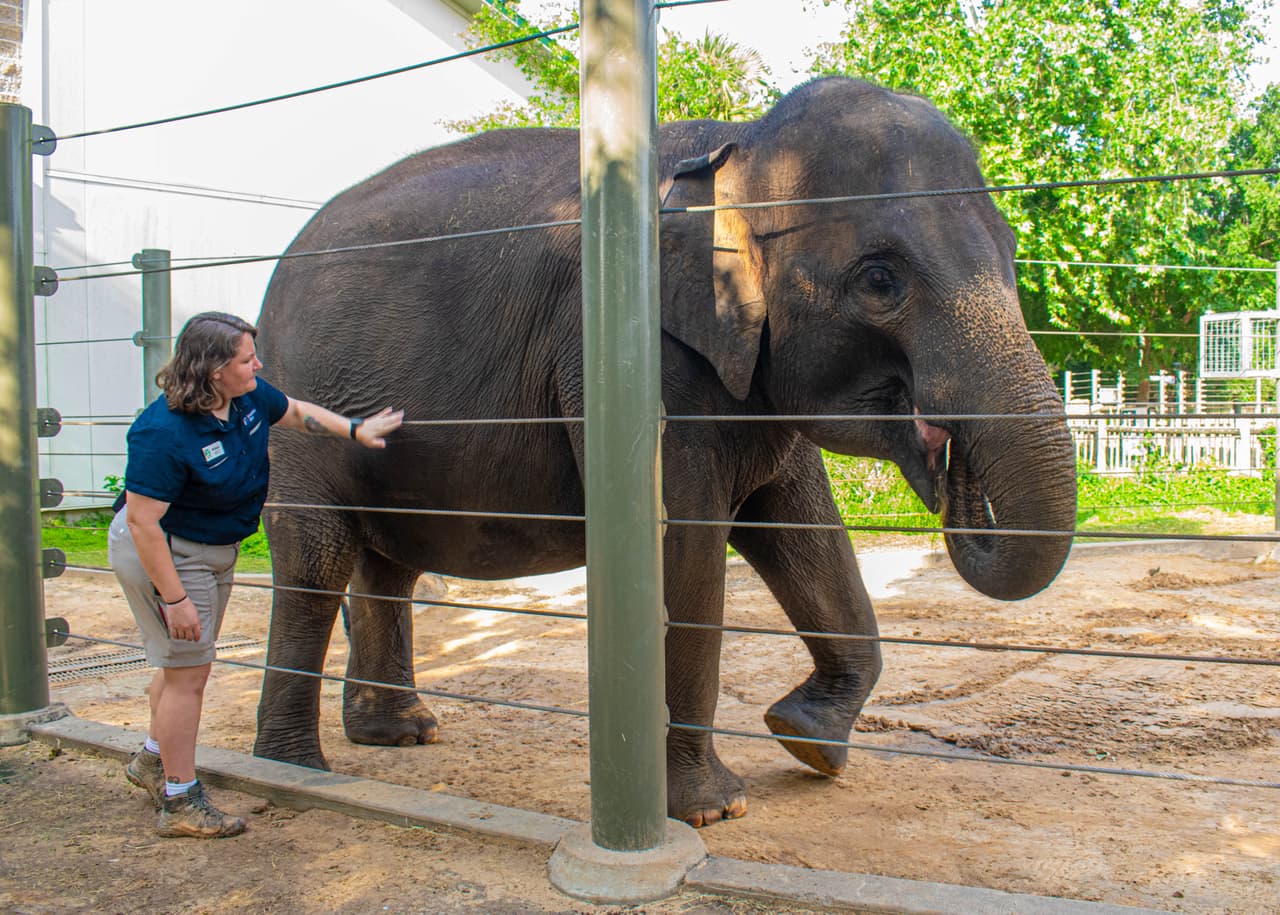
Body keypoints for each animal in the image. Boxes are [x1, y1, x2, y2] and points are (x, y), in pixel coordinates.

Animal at [252, 77, 1077, 827]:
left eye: (1012, 251)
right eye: (880, 280)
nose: (945, 454)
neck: (736, 149)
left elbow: (806, 532)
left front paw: (806, 740)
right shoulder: (633, 358)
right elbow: (684, 553)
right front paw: (714, 810)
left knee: (385, 565)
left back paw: (399, 734)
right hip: (297, 408)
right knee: (316, 559)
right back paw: (295, 773)